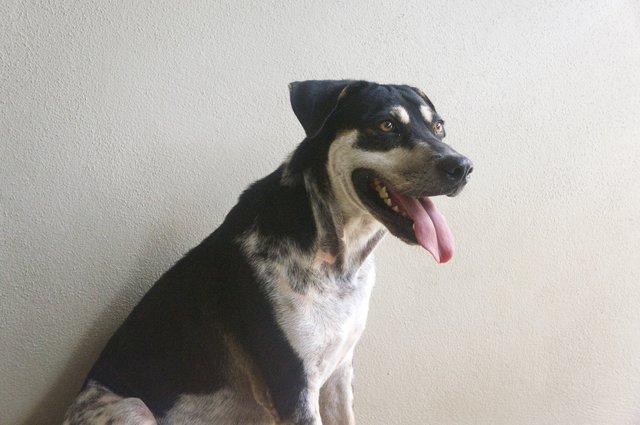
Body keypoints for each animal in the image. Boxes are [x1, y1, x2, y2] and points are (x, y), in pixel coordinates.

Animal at [62, 80, 472, 424]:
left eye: (439, 127)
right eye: (386, 125)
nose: (463, 166)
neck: (338, 260)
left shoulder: (339, 373)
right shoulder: (293, 387)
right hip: (132, 409)